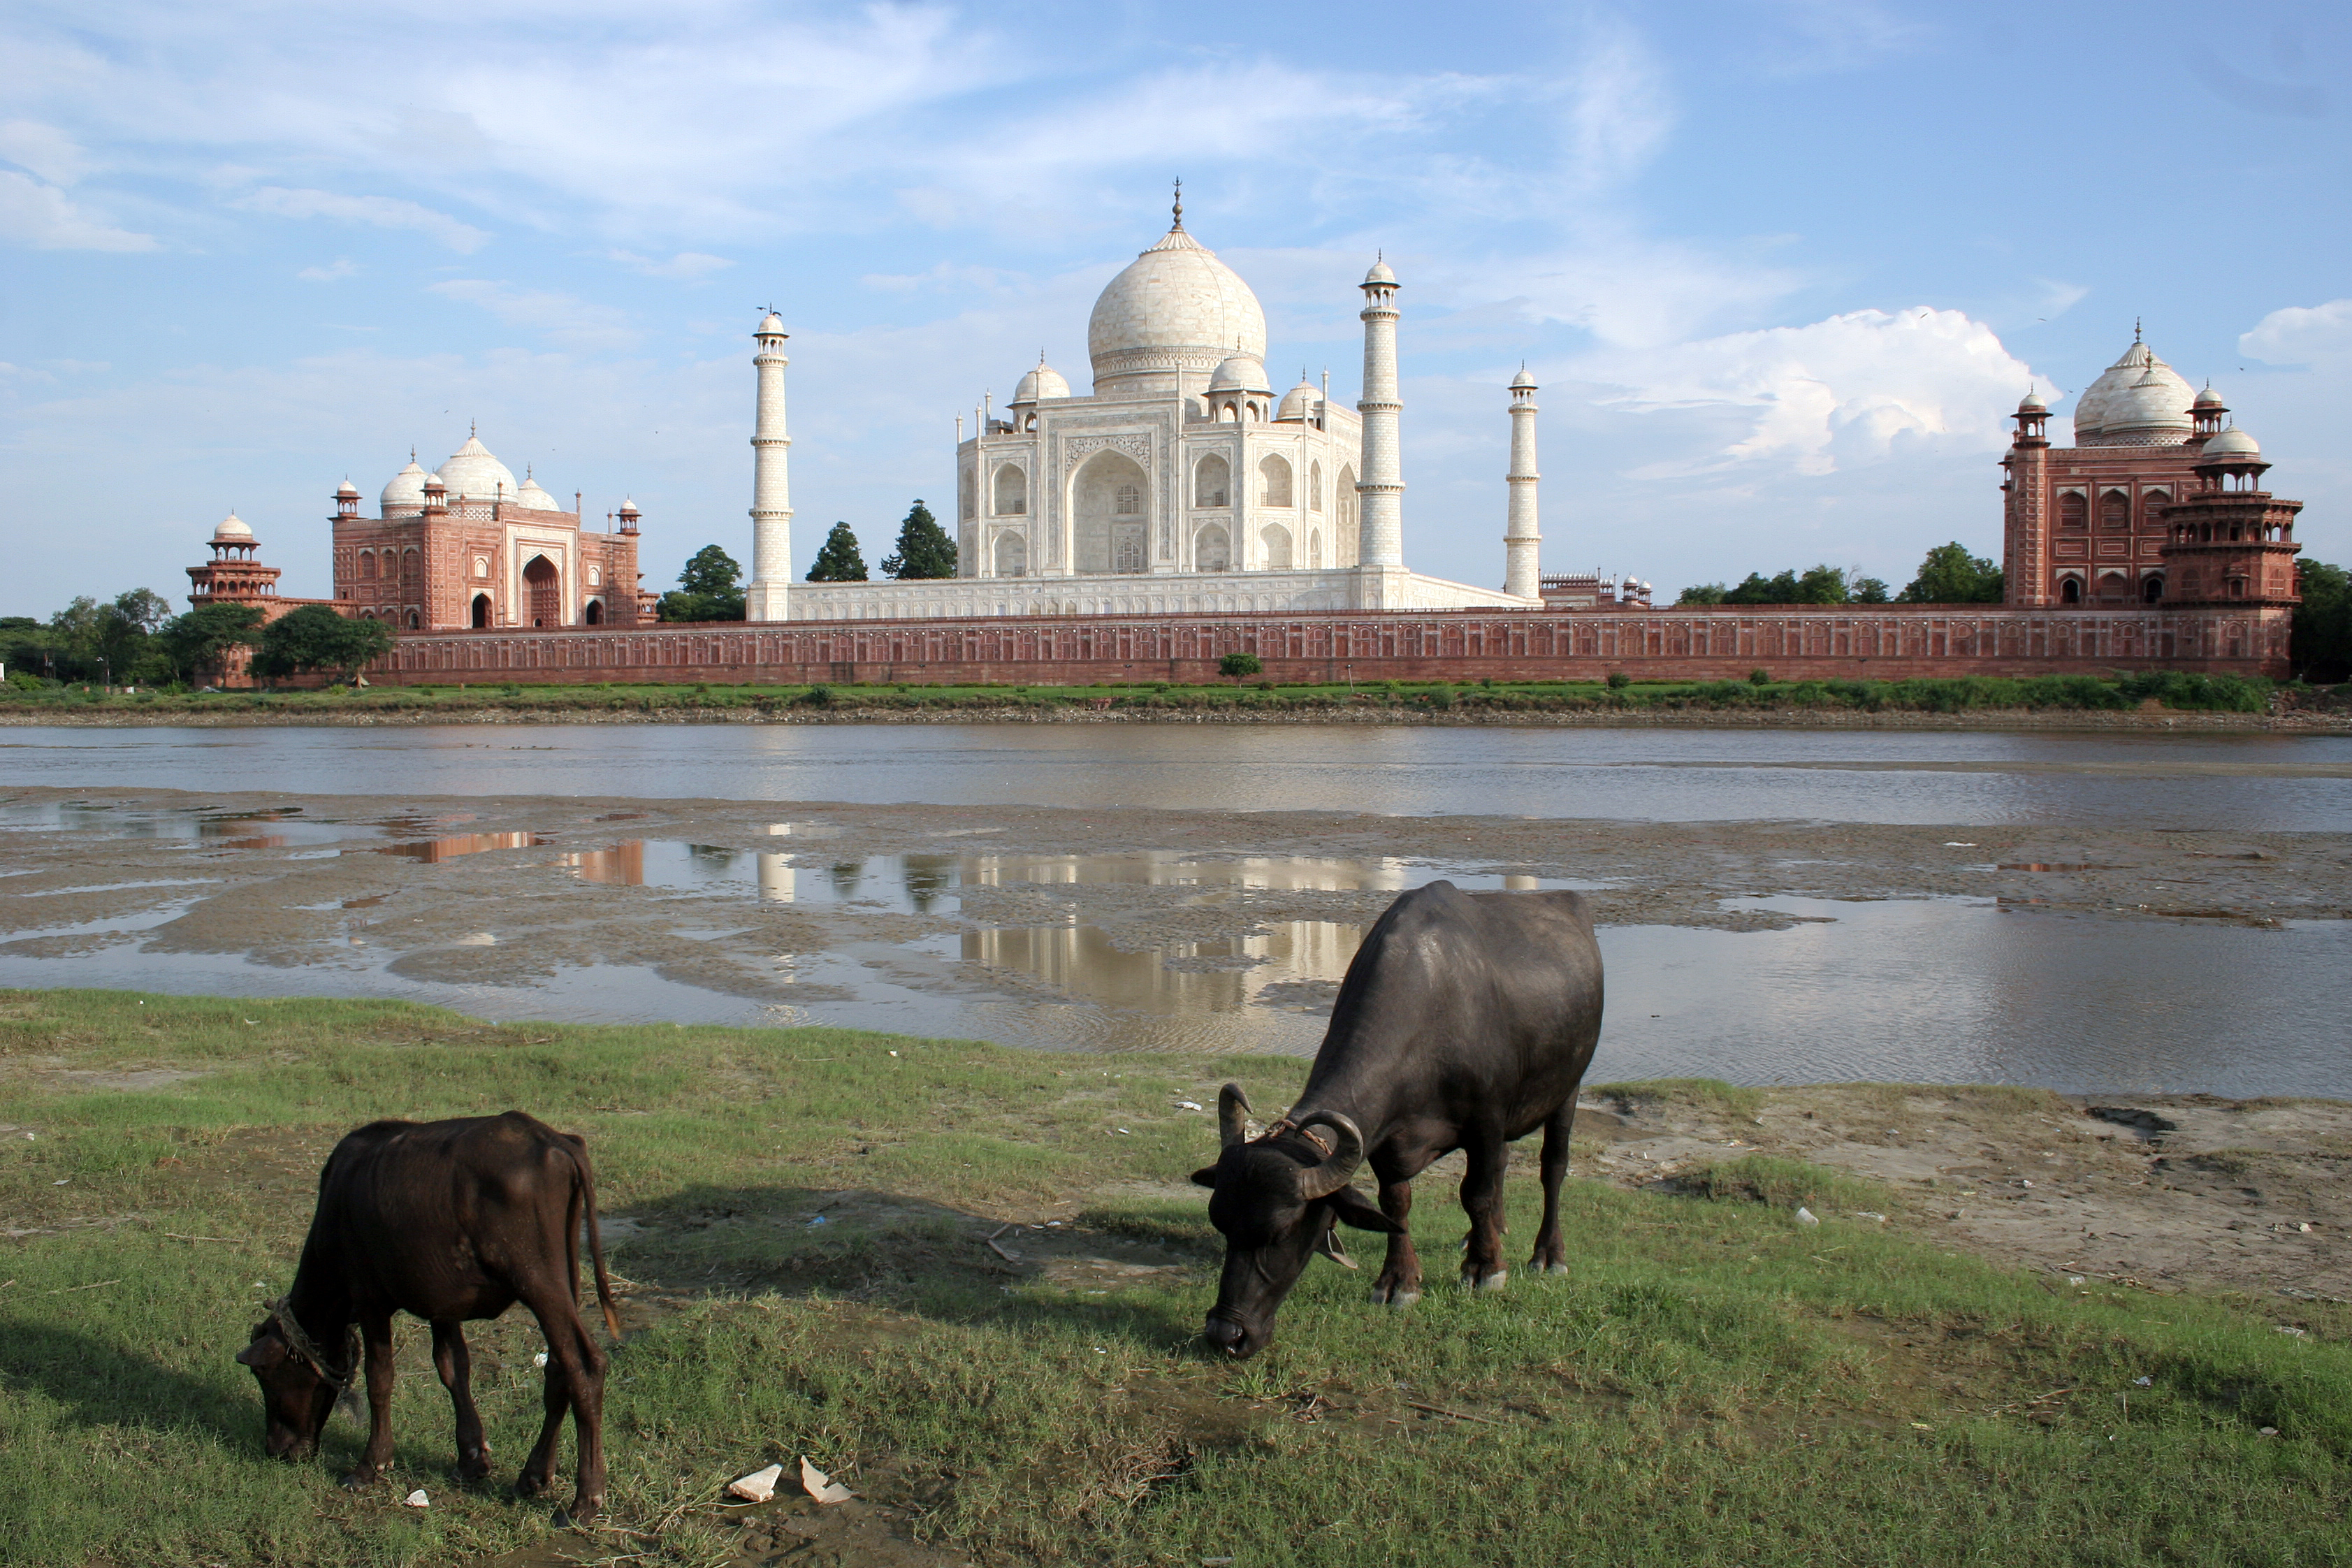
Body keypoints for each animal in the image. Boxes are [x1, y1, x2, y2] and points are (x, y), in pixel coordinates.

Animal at [240, 1109, 625, 1513]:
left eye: (264, 1374)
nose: (276, 1449)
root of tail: (553, 1140)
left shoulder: (369, 1298)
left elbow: (379, 1378)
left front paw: (370, 1465)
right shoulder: (443, 1306)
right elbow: (453, 1368)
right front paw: (472, 1459)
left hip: (538, 1282)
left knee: (583, 1365)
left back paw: (586, 1498)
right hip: (565, 1279)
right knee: (557, 1369)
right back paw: (533, 1477)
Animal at [1185, 883, 1609, 1363]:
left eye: (1280, 1233)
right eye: (1221, 1222)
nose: (1225, 1334)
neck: (1431, 1010)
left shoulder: (1486, 1119)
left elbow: (1475, 1194)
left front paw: (1486, 1269)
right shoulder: (1387, 1140)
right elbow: (1396, 1205)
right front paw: (1398, 1282)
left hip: (1569, 1088)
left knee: (1552, 1168)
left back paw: (1547, 1254)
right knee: (1502, 1164)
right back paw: (1486, 1234)